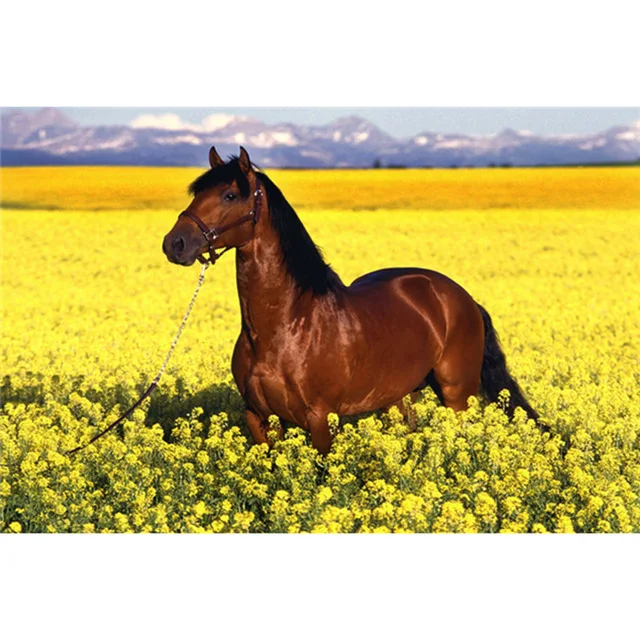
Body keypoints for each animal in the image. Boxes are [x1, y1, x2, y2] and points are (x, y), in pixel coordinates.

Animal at [162, 146, 540, 453]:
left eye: (229, 195)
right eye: (198, 193)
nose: (175, 244)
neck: (284, 326)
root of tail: (462, 297)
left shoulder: (320, 417)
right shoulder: (258, 417)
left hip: (457, 395)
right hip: (399, 396)